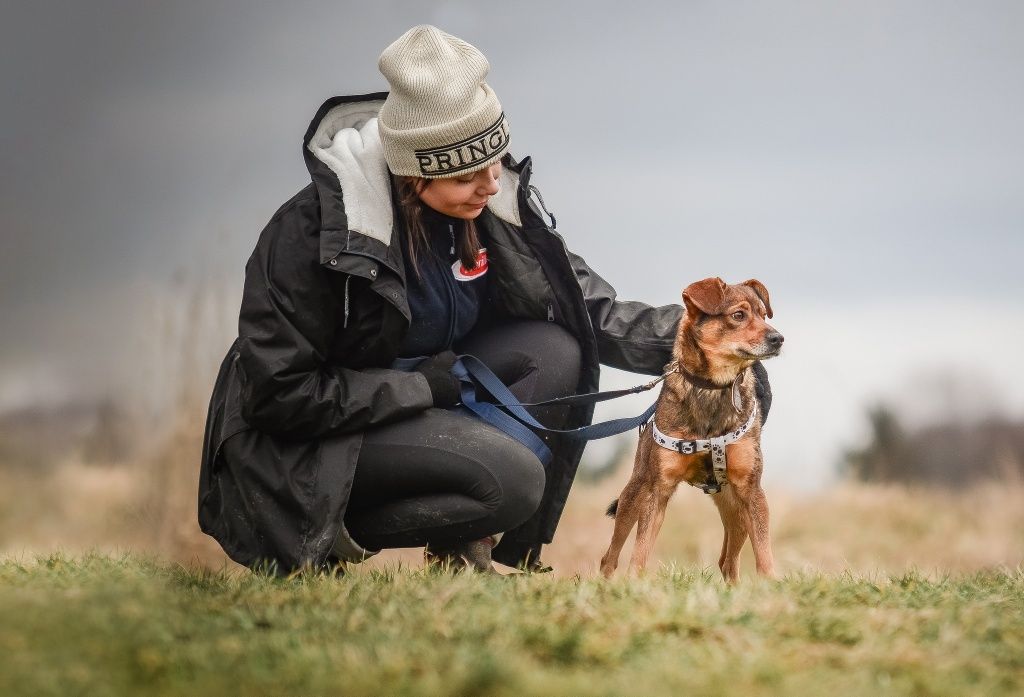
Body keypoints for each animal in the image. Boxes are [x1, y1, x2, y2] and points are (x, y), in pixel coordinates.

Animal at [598, 276, 782, 581]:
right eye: (738, 315)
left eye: (763, 315)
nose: (778, 338)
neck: (713, 387)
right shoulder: (657, 491)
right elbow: (640, 552)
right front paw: (634, 583)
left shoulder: (751, 491)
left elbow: (765, 554)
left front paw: (771, 584)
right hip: (634, 494)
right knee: (609, 555)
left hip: (737, 508)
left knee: (728, 561)